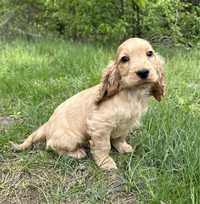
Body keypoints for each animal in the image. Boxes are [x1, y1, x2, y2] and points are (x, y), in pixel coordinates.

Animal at [11, 38, 164, 171]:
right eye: (124, 59)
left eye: (149, 53)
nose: (143, 72)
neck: (131, 94)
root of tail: (47, 125)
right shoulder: (100, 125)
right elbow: (103, 146)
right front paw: (105, 162)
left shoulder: (127, 123)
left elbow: (119, 137)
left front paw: (123, 147)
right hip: (71, 138)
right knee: (51, 146)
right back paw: (77, 153)